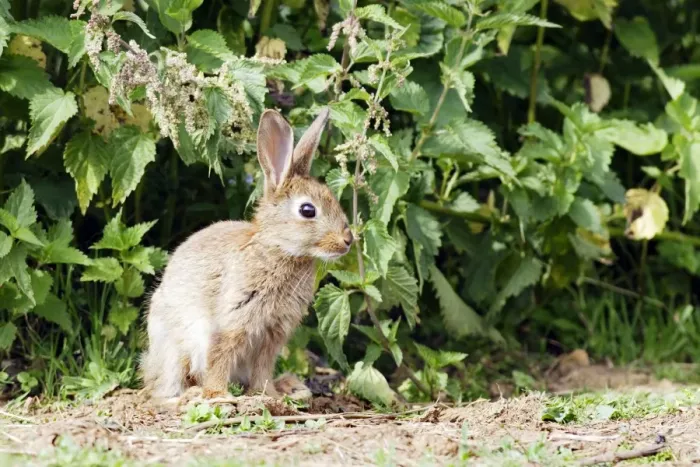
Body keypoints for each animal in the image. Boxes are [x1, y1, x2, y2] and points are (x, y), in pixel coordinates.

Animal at [141, 108, 353, 400]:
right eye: (308, 210)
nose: (348, 241)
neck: (279, 249)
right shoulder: (233, 319)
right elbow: (220, 354)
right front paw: (218, 394)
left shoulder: (274, 333)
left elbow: (263, 367)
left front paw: (269, 395)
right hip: (174, 349)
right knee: (164, 388)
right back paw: (188, 395)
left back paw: (290, 387)